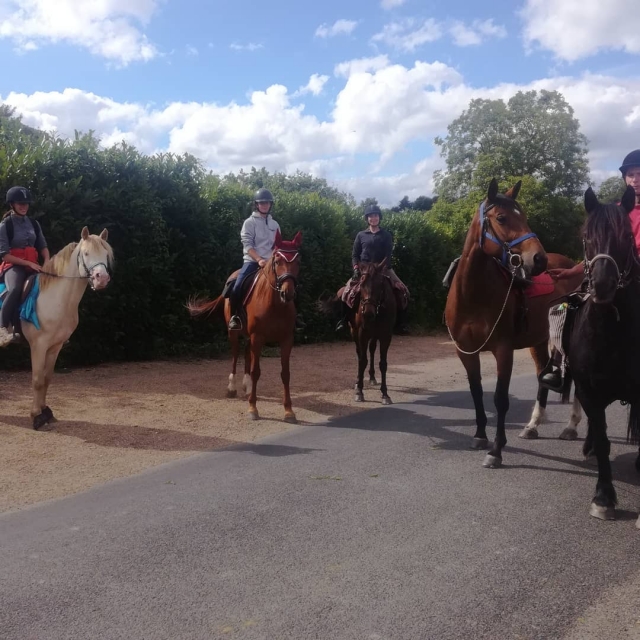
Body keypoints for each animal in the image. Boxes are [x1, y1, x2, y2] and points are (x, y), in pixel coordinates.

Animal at [11, 227, 113, 430]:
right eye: (86, 253)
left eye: (105, 254)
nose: (102, 279)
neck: (55, 297)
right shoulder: (39, 346)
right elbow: (37, 380)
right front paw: (36, 416)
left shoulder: (55, 346)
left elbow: (47, 378)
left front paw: (45, 412)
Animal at [188, 230, 302, 423]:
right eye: (277, 261)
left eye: (298, 261)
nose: (288, 293)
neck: (275, 304)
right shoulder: (258, 337)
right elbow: (256, 371)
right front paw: (253, 408)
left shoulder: (286, 339)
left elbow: (285, 374)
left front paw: (289, 411)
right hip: (234, 334)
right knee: (235, 356)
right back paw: (232, 388)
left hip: (250, 337)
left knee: (247, 354)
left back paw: (247, 387)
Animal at [444, 178, 584, 468]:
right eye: (501, 217)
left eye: (525, 216)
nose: (539, 259)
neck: (473, 295)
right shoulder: (466, 352)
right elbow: (476, 391)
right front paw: (480, 435)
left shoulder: (503, 351)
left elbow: (500, 399)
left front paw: (496, 450)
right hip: (539, 341)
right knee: (542, 374)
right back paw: (533, 425)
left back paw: (571, 426)